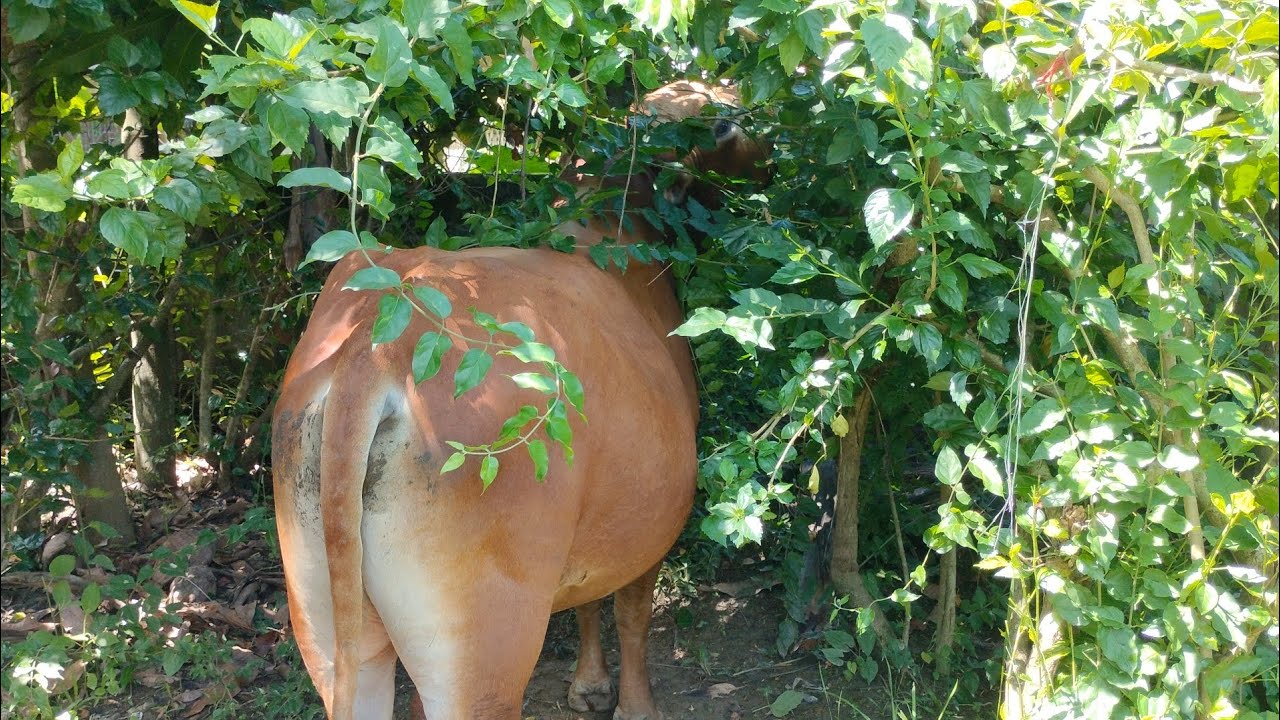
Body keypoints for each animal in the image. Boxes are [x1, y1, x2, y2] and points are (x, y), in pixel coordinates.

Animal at [271, 79, 769, 720]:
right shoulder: (654, 522)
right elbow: (631, 614)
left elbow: (588, 601)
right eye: (726, 119)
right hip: (481, 656)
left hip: (325, 627)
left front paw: (588, 684)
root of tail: (379, 345)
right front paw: (633, 703)